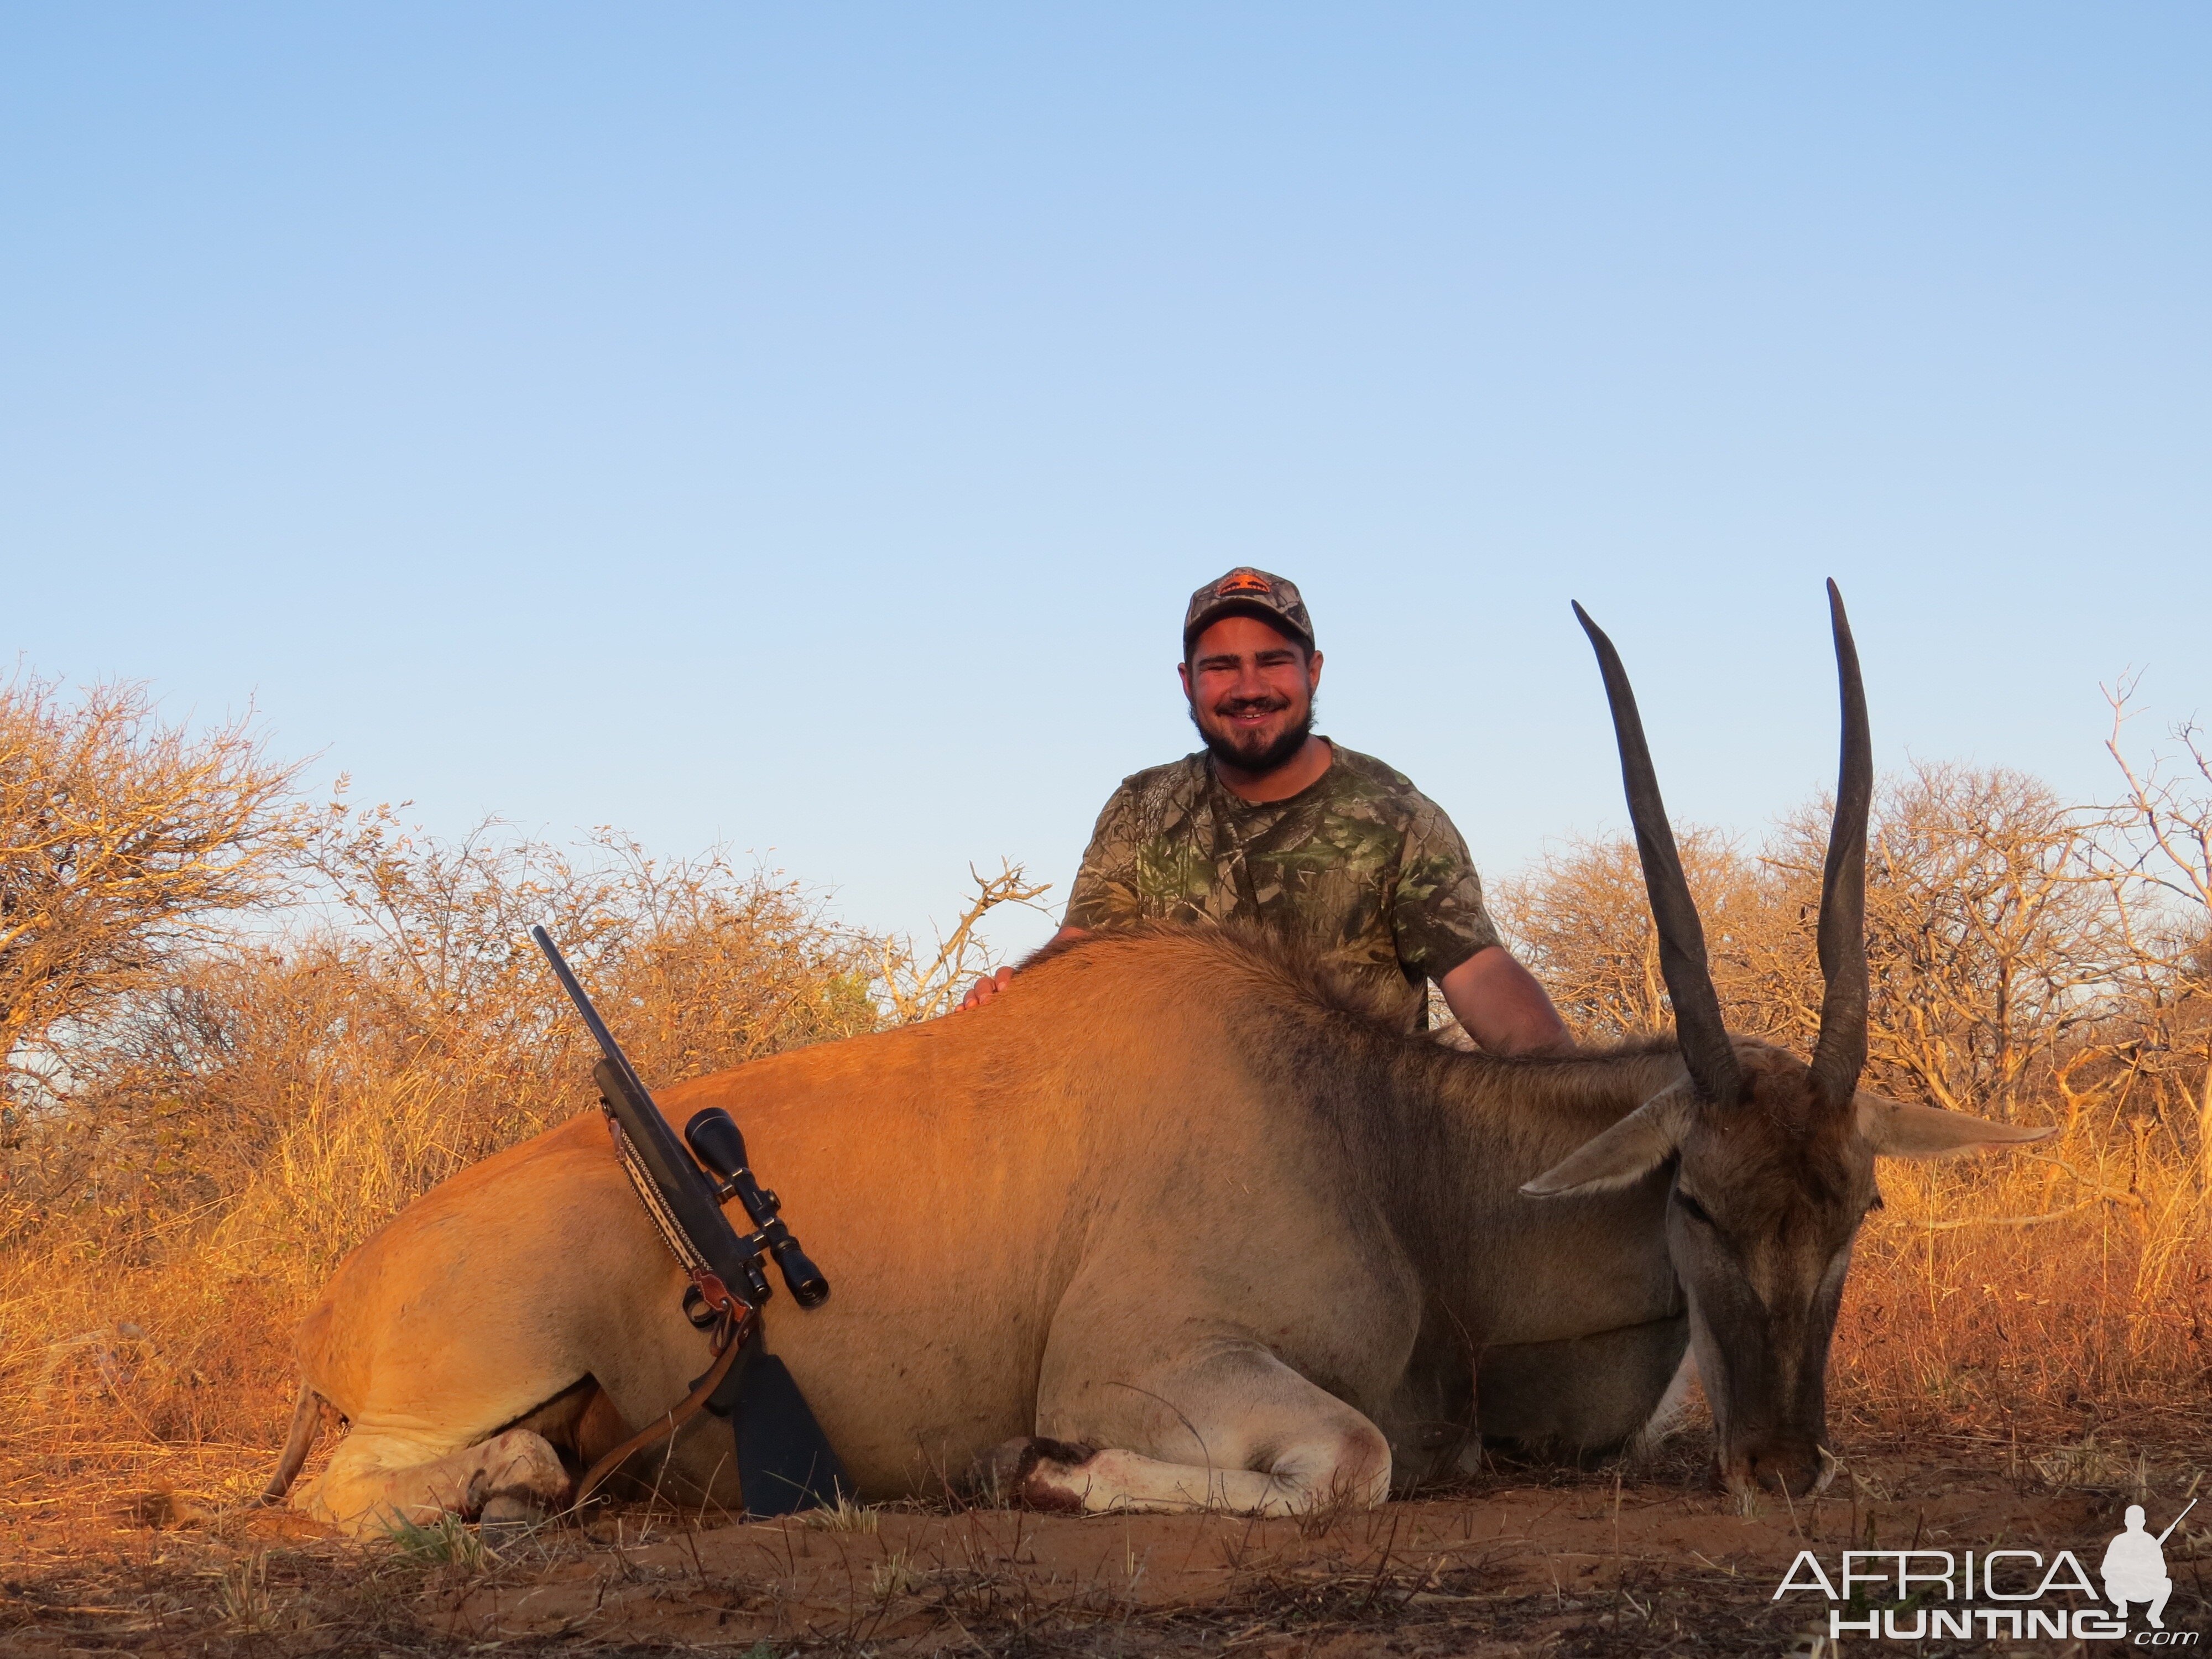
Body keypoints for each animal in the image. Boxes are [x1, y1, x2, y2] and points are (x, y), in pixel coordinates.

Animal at [268, 593, 2044, 1540]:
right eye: (1693, 1197)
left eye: (1858, 1209)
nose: (1786, 1465)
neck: (1388, 1148)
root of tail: (340, 1300)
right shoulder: (1144, 1362)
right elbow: (1348, 1462)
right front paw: (1038, 1474)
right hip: (475, 1375)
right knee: (369, 1490)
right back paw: (513, 1488)